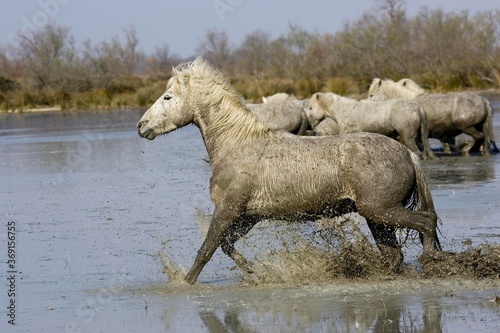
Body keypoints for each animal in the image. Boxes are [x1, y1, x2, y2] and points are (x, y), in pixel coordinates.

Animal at [137, 58, 442, 284]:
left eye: (167, 97)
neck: (237, 143)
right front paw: (256, 272)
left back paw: (431, 263)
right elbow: (226, 246)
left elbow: (206, 250)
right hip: (377, 217)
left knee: (426, 222)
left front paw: (185, 283)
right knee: (394, 255)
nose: (142, 126)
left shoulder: (227, 210)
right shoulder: (248, 216)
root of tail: (407, 153)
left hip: (381, 210)